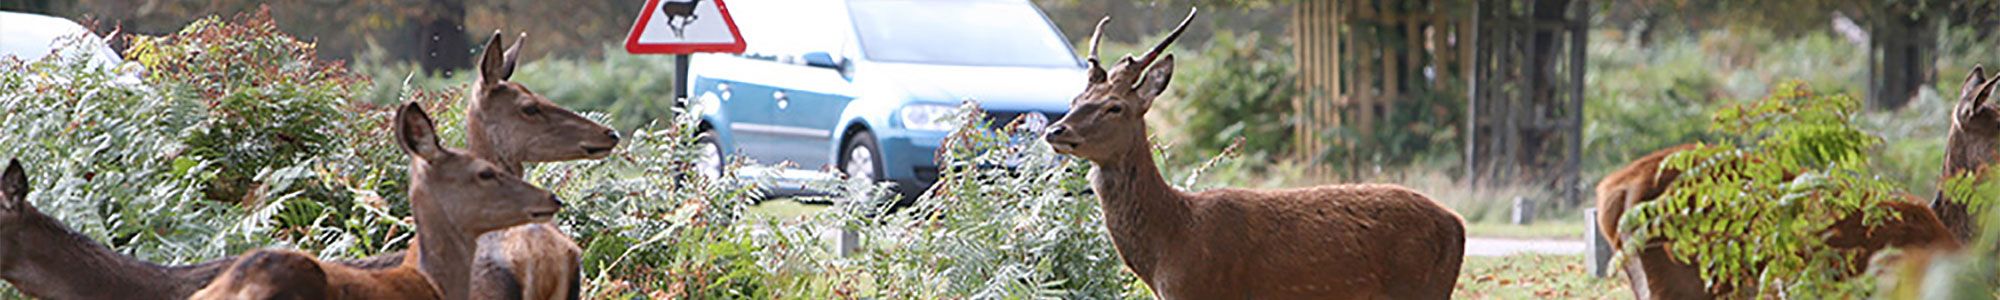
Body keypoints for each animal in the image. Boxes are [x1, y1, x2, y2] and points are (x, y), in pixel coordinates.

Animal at [1048, 8, 1472, 298]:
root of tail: (1458, 225)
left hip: (1420, 286)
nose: (1056, 129)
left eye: (1114, 106)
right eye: (1075, 99)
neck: (1170, 246)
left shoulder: (1205, 290)